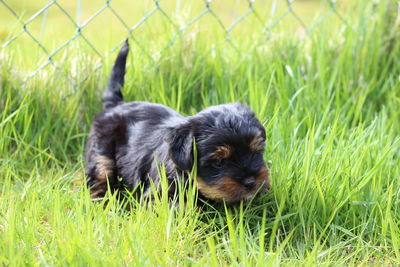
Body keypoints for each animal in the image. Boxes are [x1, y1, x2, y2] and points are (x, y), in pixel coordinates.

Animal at [85, 40, 270, 205]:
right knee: (100, 175)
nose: (250, 182)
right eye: (218, 163)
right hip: (102, 150)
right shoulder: (158, 196)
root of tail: (115, 105)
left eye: (256, 152)